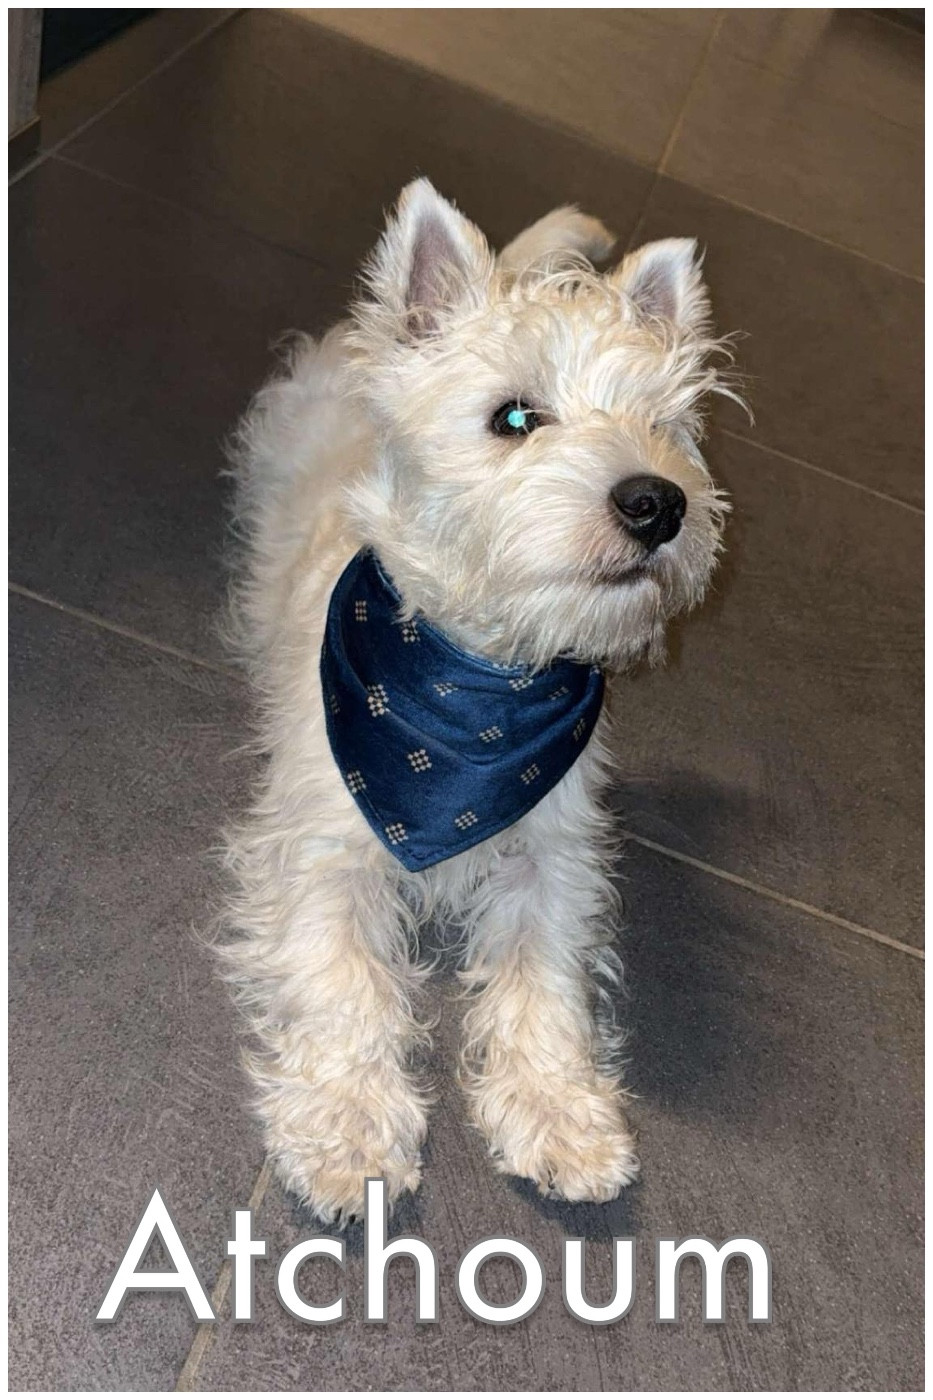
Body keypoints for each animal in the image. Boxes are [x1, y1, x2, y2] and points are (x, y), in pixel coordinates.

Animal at [217, 179, 733, 1224]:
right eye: (513, 417)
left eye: (663, 426)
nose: (657, 502)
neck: (483, 684)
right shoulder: (325, 846)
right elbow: (346, 978)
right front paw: (347, 1133)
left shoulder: (553, 858)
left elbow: (546, 981)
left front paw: (563, 1120)